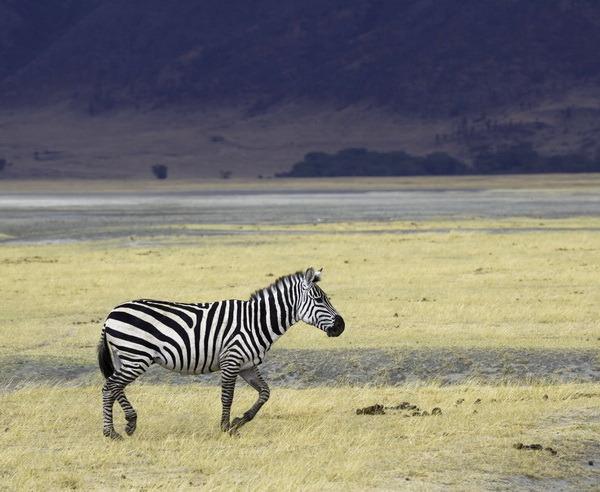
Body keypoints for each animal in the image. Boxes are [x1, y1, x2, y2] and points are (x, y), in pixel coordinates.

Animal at [96, 268, 344, 440]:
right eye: (319, 300)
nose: (341, 326)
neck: (256, 321)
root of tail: (111, 313)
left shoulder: (247, 365)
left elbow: (265, 393)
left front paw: (239, 421)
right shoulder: (231, 360)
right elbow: (227, 396)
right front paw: (226, 428)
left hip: (126, 357)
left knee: (115, 387)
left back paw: (129, 423)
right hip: (136, 356)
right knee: (110, 387)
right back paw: (111, 432)